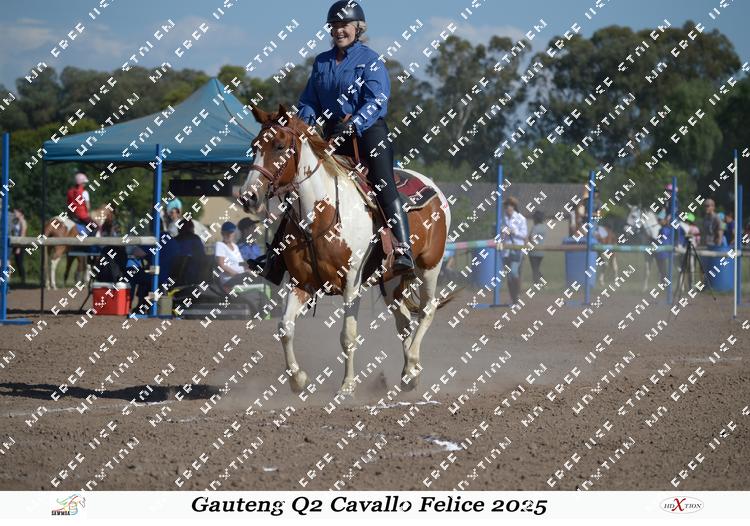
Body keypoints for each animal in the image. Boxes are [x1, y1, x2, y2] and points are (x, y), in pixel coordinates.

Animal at [240, 104, 451, 397]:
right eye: (253, 146)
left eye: (280, 146)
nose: (248, 197)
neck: (320, 214)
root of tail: (433, 186)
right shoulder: (300, 283)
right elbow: (285, 327)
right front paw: (298, 380)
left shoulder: (352, 283)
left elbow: (348, 335)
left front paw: (347, 385)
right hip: (392, 280)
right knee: (404, 320)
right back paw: (409, 373)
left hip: (430, 266)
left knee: (427, 311)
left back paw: (411, 367)